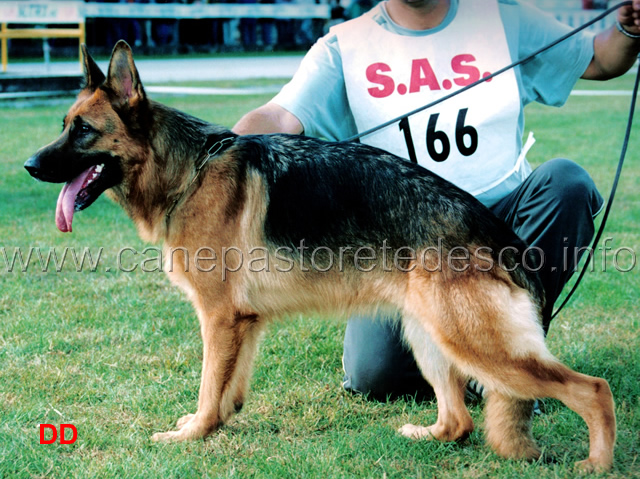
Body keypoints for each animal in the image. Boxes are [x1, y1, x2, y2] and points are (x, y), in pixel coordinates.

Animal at [23, 42, 616, 472]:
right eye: (63, 126)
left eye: (83, 131)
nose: (28, 166)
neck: (188, 171)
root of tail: (501, 238)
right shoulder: (243, 323)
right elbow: (227, 391)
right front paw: (217, 424)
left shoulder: (218, 318)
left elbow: (208, 387)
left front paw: (191, 433)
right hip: (428, 334)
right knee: (459, 422)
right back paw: (427, 434)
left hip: (475, 342)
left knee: (593, 390)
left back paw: (596, 463)